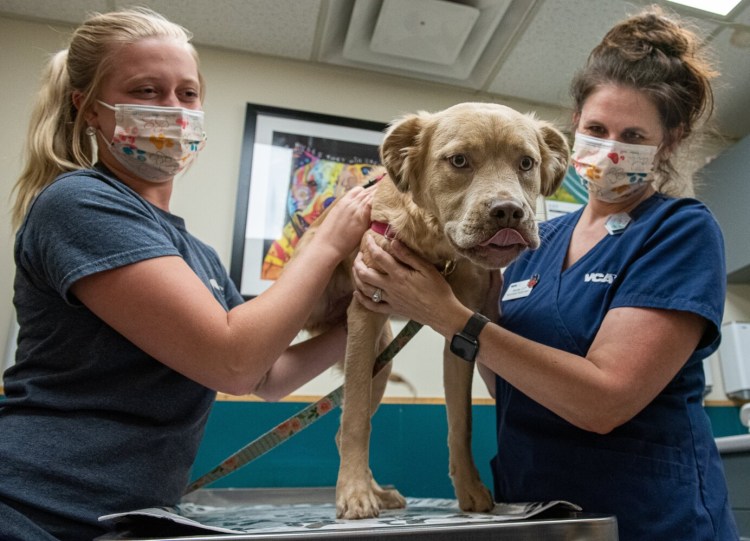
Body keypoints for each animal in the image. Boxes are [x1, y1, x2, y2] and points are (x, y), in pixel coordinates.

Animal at [294, 102, 568, 520]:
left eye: (526, 163)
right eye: (459, 161)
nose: (508, 211)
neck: (438, 249)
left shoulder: (460, 334)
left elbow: (461, 422)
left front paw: (470, 489)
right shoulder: (366, 312)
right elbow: (355, 417)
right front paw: (354, 494)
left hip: (382, 359)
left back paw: (380, 492)